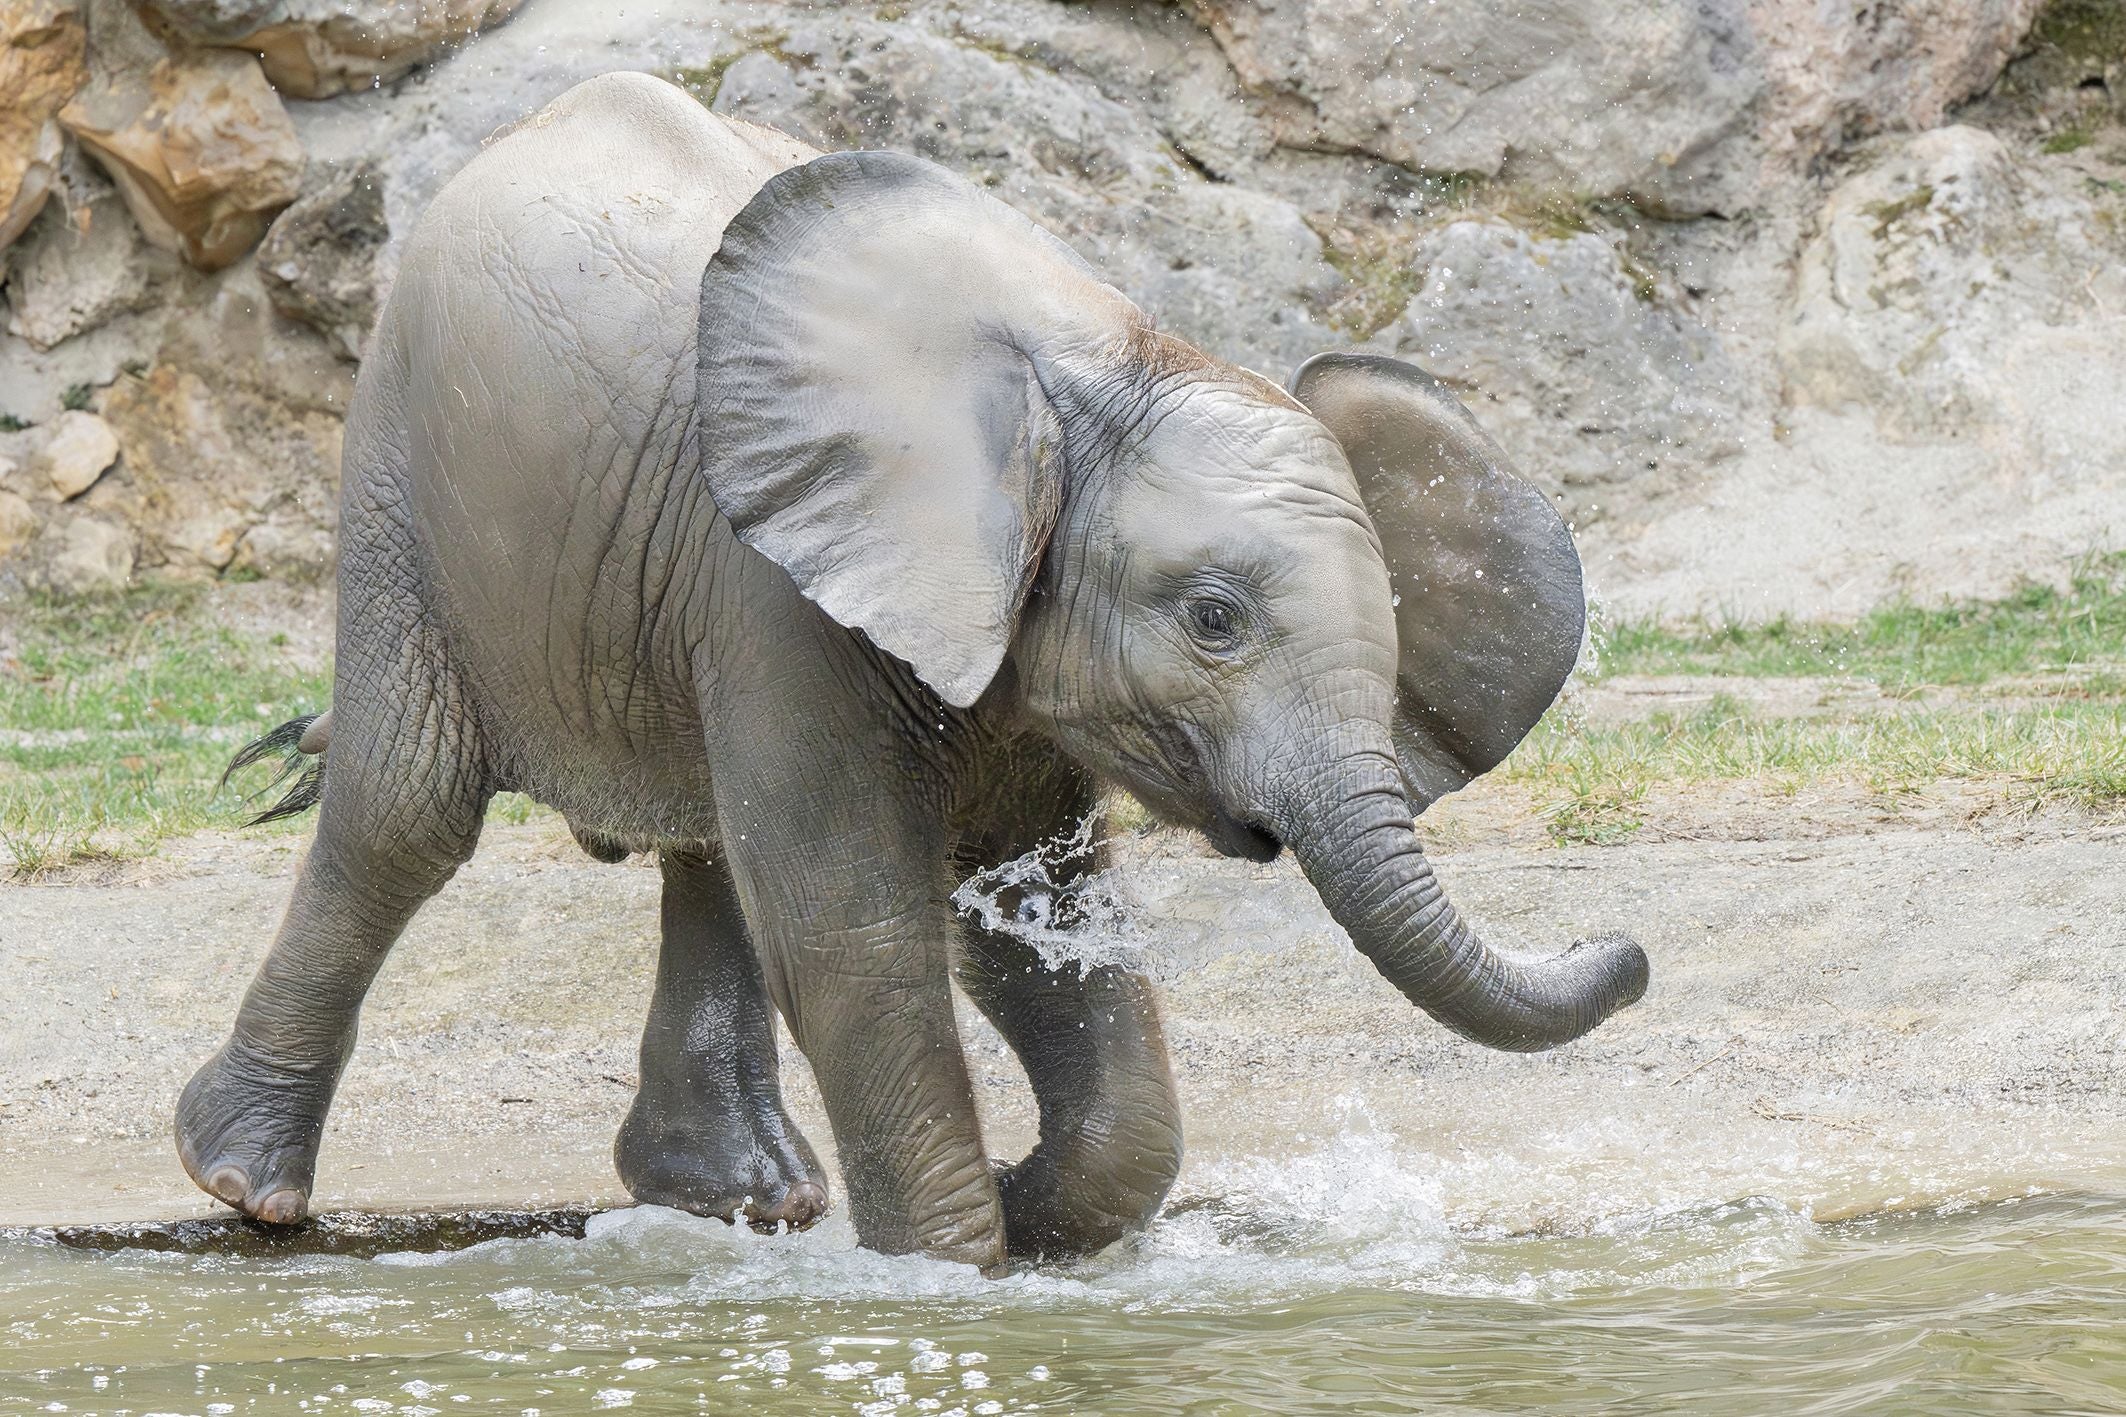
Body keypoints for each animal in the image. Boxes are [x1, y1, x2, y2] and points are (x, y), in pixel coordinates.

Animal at [177, 72, 1647, 1269]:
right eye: (1215, 618)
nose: (1621, 944)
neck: (1105, 366)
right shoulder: (774, 580)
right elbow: (857, 925)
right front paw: (953, 1268)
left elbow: (1032, 926)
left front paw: (1035, 1211)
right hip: (404, 482)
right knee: (406, 812)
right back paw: (243, 1184)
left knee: (708, 843)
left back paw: (742, 1202)